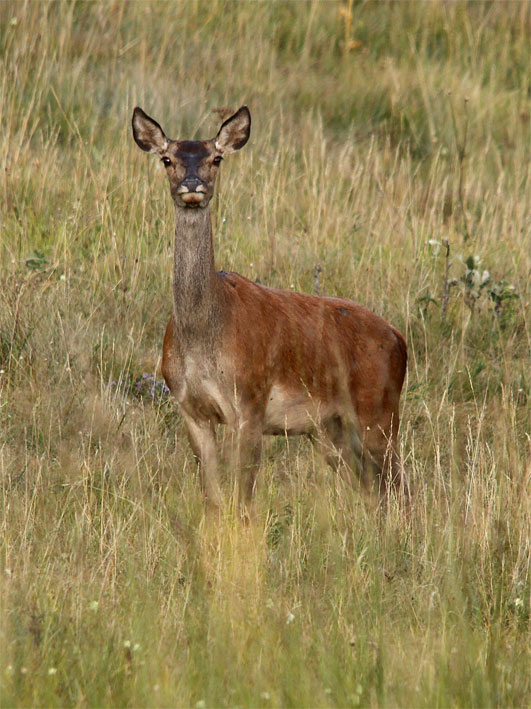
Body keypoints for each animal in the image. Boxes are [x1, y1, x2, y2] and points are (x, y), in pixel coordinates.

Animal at [131, 103, 410, 516]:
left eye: (216, 157)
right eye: (167, 159)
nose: (193, 184)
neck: (204, 336)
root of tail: (399, 339)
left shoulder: (250, 402)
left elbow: (243, 497)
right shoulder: (190, 408)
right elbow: (212, 497)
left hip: (379, 410)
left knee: (401, 486)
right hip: (330, 430)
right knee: (374, 488)